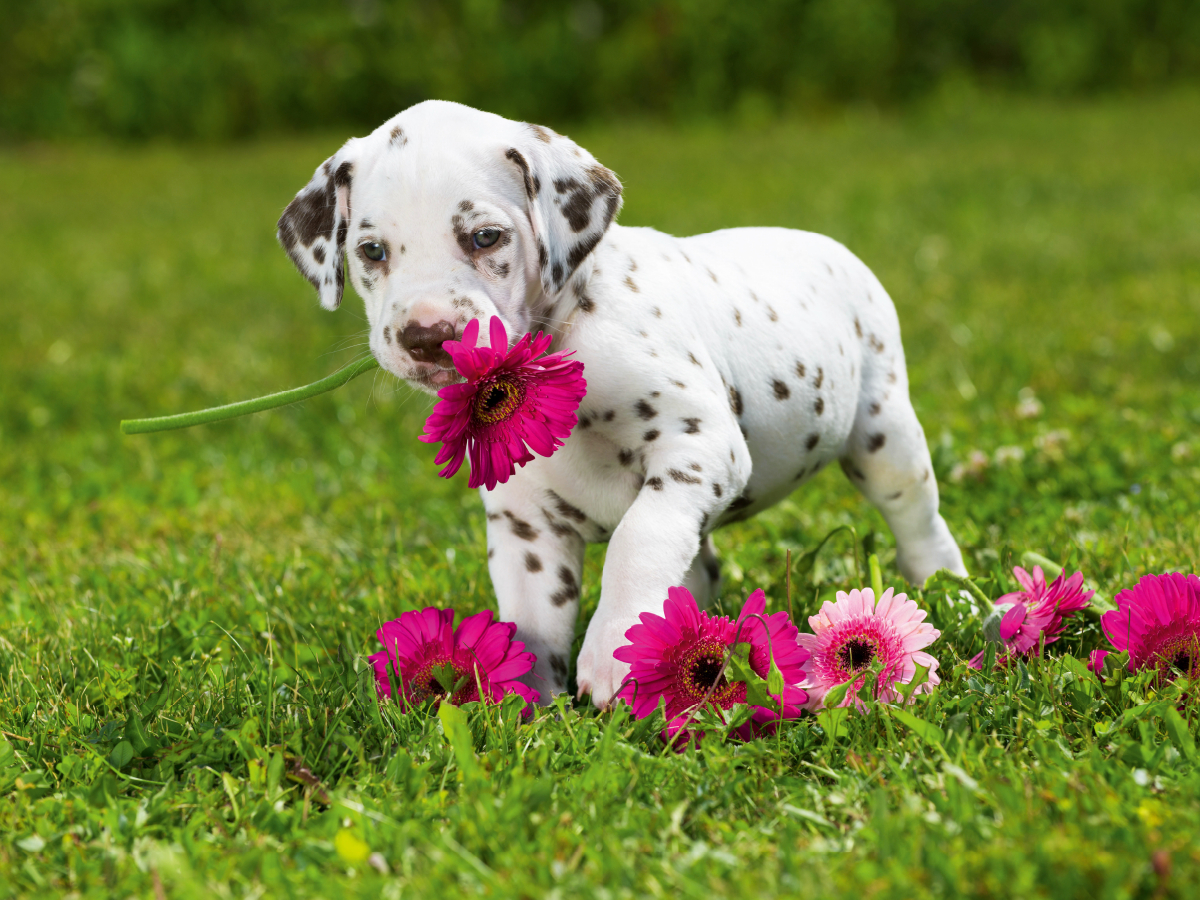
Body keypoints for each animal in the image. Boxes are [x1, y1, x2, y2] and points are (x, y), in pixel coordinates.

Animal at [276, 102, 969, 710]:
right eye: (371, 252)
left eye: (485, 237)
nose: (426, 335)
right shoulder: (526, 525)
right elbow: (531, 623)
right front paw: (529, 710)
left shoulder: (699, 445)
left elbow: (640, 537)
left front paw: (612, 648)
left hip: (886, 439)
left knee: (920, 523)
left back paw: (951, 592)